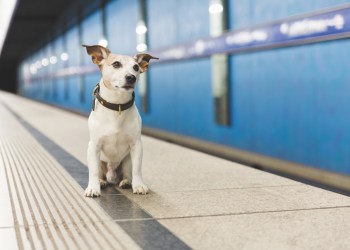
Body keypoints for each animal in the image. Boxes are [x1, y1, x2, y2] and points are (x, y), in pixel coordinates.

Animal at [82, 44, 158, 197]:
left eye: (136, 67)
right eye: (116, 64)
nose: (131, 77)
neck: (117, 106)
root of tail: (112, 176)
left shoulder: (136, 145)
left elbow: (137, 169)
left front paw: (139, 185)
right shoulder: (94, 146)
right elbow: (93, 172)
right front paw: (93, 188)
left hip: (127, 160)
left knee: (128, 172)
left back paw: (126, 182)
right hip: (100, 161)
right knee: (99, 172)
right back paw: (101, 182)